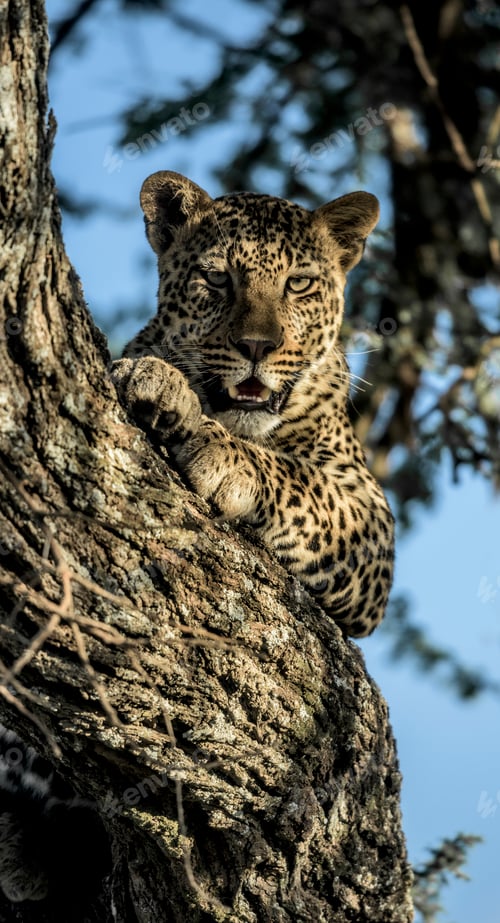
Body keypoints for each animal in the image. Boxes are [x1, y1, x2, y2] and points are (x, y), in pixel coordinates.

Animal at [111, 170, 395, 638]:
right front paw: (157, 382)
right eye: (217, 278)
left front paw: (226, 457)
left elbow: (304, 483)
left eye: (298, 284)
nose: (257, 346)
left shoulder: (370, 512)